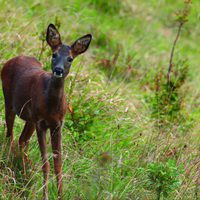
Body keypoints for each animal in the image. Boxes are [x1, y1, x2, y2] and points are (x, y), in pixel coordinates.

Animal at [0, 24, 92, 199]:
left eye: (70, 58)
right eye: (54, 54)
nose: (58, 70)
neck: (52, 108)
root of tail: (13, 59)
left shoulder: (57, 125)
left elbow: (58, 164)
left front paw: (61, 194)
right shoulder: (41, 123)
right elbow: (46, 163)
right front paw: (45, 195)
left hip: (30, 118)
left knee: (22, 140)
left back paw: (25, 169)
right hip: (10, 102)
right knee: (10, 135)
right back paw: (11, 163)